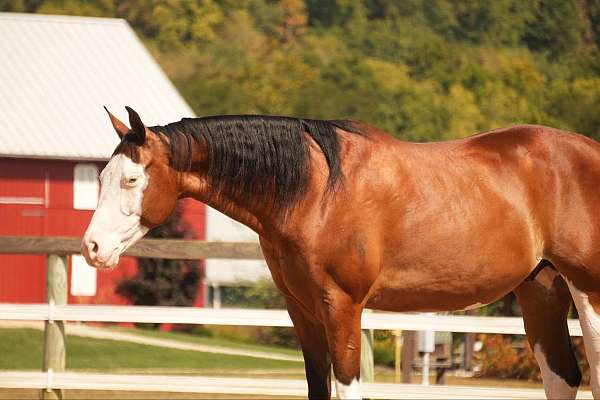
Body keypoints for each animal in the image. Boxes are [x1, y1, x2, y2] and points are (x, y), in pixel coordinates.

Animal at [83, 107, 600, 400]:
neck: (313, 191)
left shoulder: (342, 306)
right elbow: (318, 386)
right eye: (101, 176)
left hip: (588, 292)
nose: (92, 247)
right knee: (562, 377)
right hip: (541, 288)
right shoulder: (303, 310)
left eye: (132, 178)